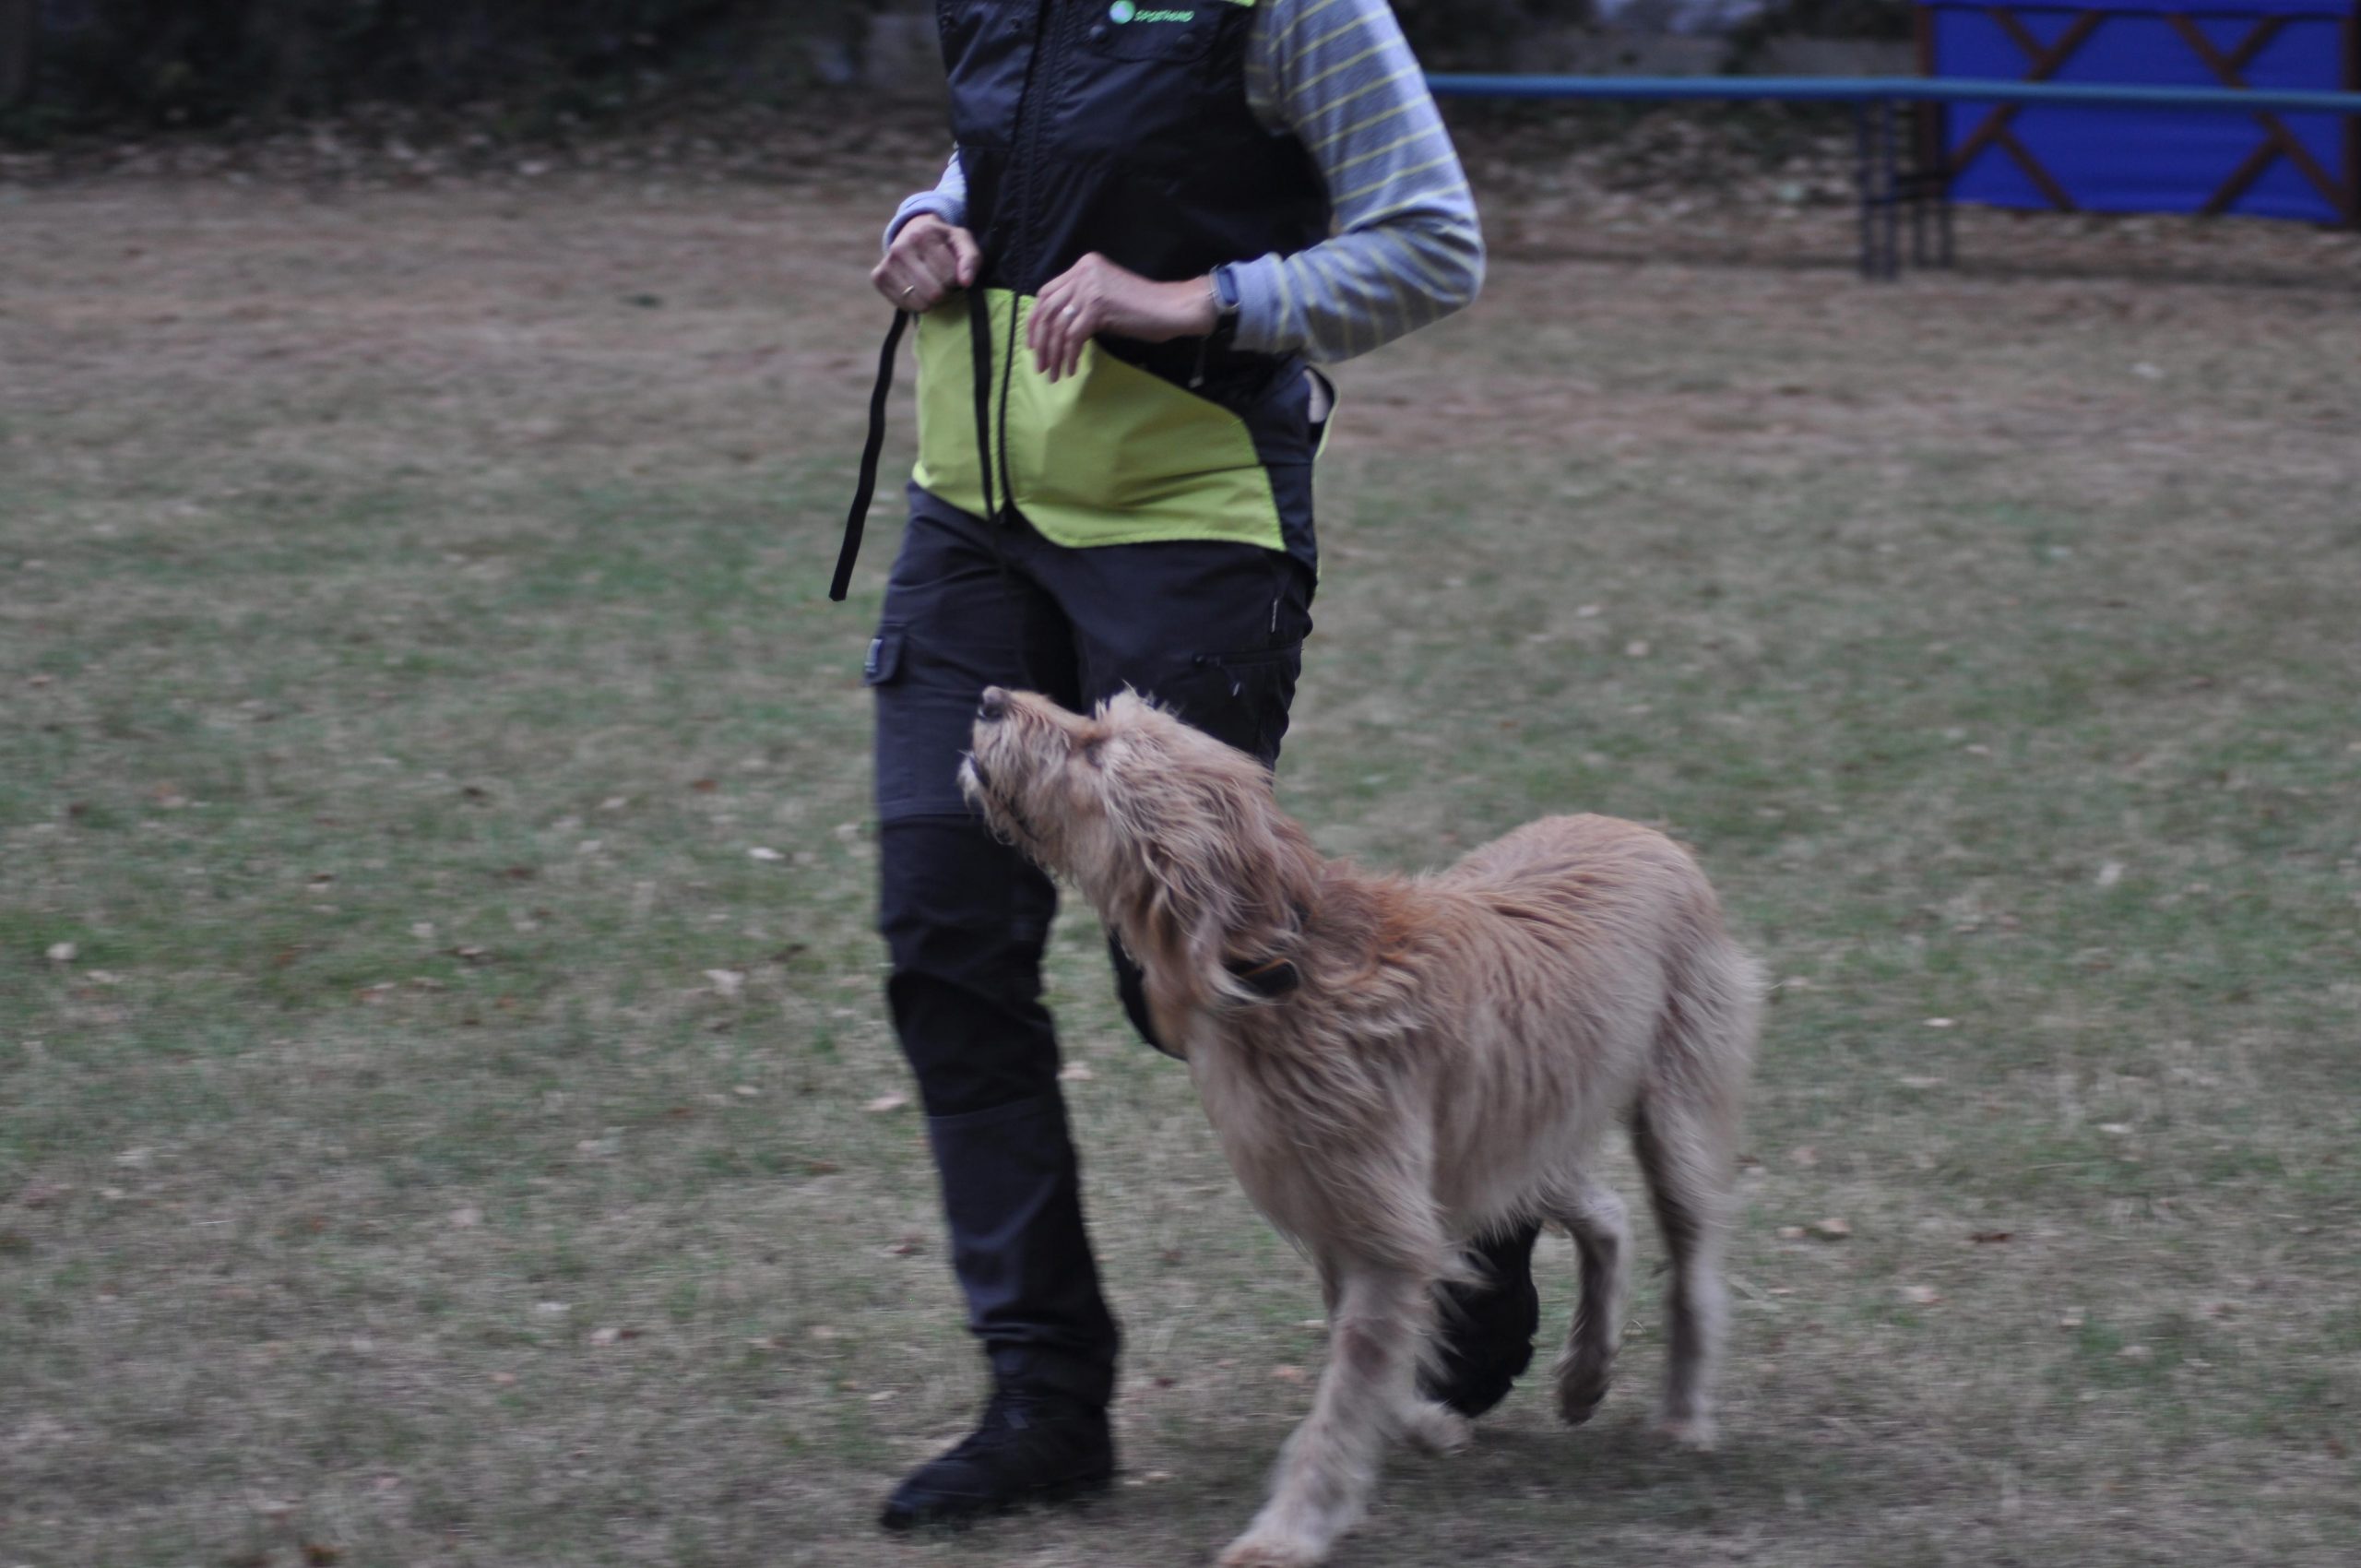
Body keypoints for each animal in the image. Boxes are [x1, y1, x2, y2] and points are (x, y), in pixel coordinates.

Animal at [959, 687, 1762, 1568]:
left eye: (1099, 750)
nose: (991, 697)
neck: (1278, 965)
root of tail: (1645, 831)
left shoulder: (1382, 1229)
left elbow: (1342, 1402)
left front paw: (1286, 1532)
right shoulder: (1352, 1214)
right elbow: (1372, 1364)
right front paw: (1425, 1425)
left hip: (1670, 1122)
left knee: (1691, 1268)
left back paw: (1682, 1415)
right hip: (1506, 1139)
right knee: (1607, 1215)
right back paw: (1587, 1369)